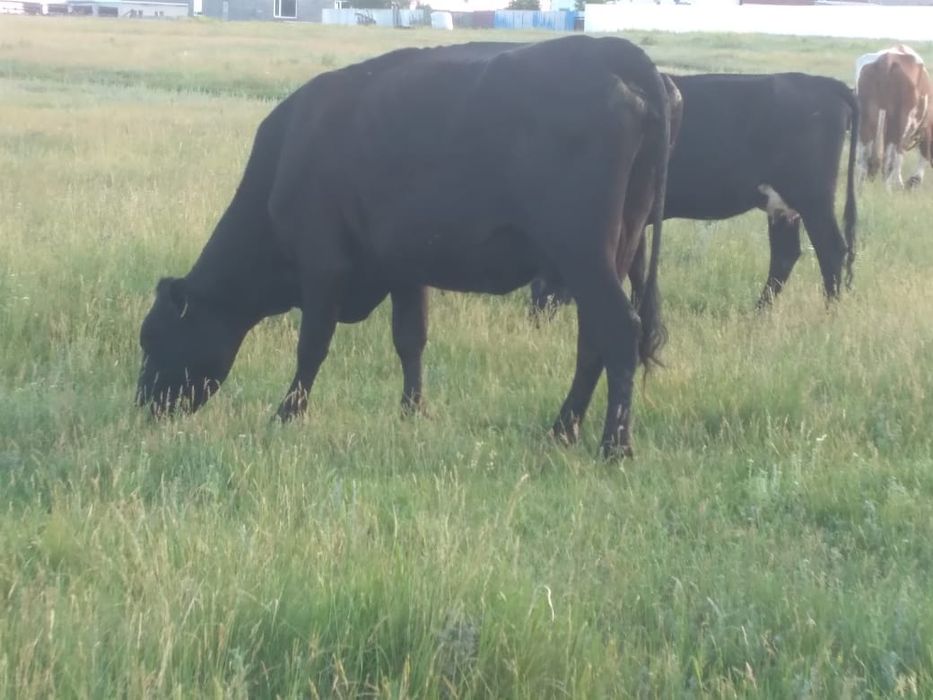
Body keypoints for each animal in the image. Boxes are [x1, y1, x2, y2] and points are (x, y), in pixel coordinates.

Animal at [136, 36, 681, 459]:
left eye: (152, 338)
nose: (144, 406)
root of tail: (612, 51)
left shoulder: (322, 265)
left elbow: (312, 346)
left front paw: (287, 414)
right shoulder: (403, 267)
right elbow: (410, 339)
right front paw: (412, 412)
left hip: (582, 253)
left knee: (619, 330)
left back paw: (614, 446)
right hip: (614, 251)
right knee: (594, 340)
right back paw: (562, 431)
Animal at [531, 72, 858, 314]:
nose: (536, 315)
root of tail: (825, 83)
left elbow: (633, 267)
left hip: (813, 198)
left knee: (831, 250)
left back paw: (829, 315)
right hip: (782, 205)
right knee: (785, 255)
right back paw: (757, 314)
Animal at [855, 44, 932, 190]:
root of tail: (887, 60)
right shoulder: (926, 127)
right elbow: (924, 153)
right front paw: (912, 182)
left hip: (867, 116)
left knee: (864, 158)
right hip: (900, 120)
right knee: (890, 159)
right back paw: (888, 189)